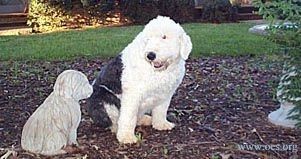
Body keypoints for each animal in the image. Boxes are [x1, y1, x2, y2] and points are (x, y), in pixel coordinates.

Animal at [88, 15, 192, 143]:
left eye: (164, 37)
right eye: (148, 39)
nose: (150, 55)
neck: (157, 71)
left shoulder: (165, 94)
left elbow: (161, 110)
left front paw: (161, 124)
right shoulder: (132, 95)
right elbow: (128, 117)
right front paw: (126, 137)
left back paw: (145, 119)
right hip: (104, 100)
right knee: (112, 120)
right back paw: (116, 127)